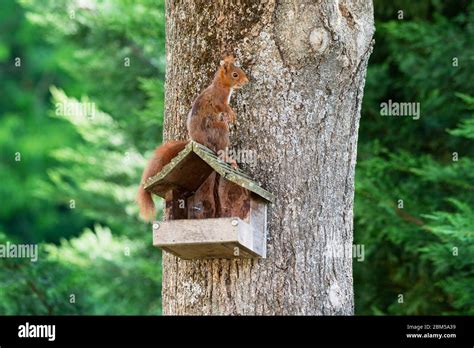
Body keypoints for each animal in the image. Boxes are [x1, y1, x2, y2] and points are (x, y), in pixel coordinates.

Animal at [136, 55, 250, 222]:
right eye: (235, 74)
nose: (246, 81)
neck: (221, 85)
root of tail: (195, 141)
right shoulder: (218, 98)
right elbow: (222, 107)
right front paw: (231, 114)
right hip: (218, 130)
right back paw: (229, 159)